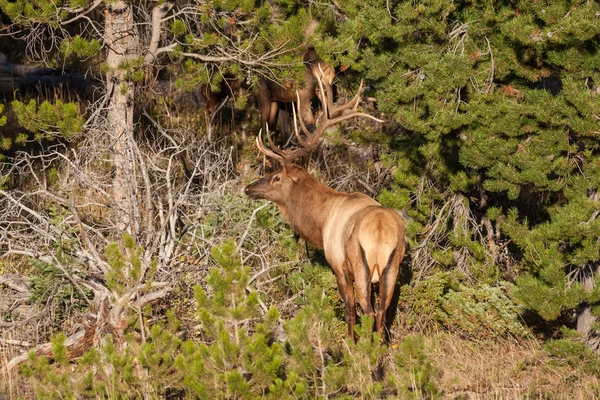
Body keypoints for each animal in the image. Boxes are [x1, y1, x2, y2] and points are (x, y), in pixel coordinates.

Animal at [245, 79, 408, 338]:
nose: (249, 188)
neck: (320, 225)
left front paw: (349, 342)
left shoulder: (338, 266)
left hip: (361, 266)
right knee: (382, 313)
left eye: (276, 177)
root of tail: (381, 233)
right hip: (392, 268)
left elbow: (350, 311)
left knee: (369, 312)